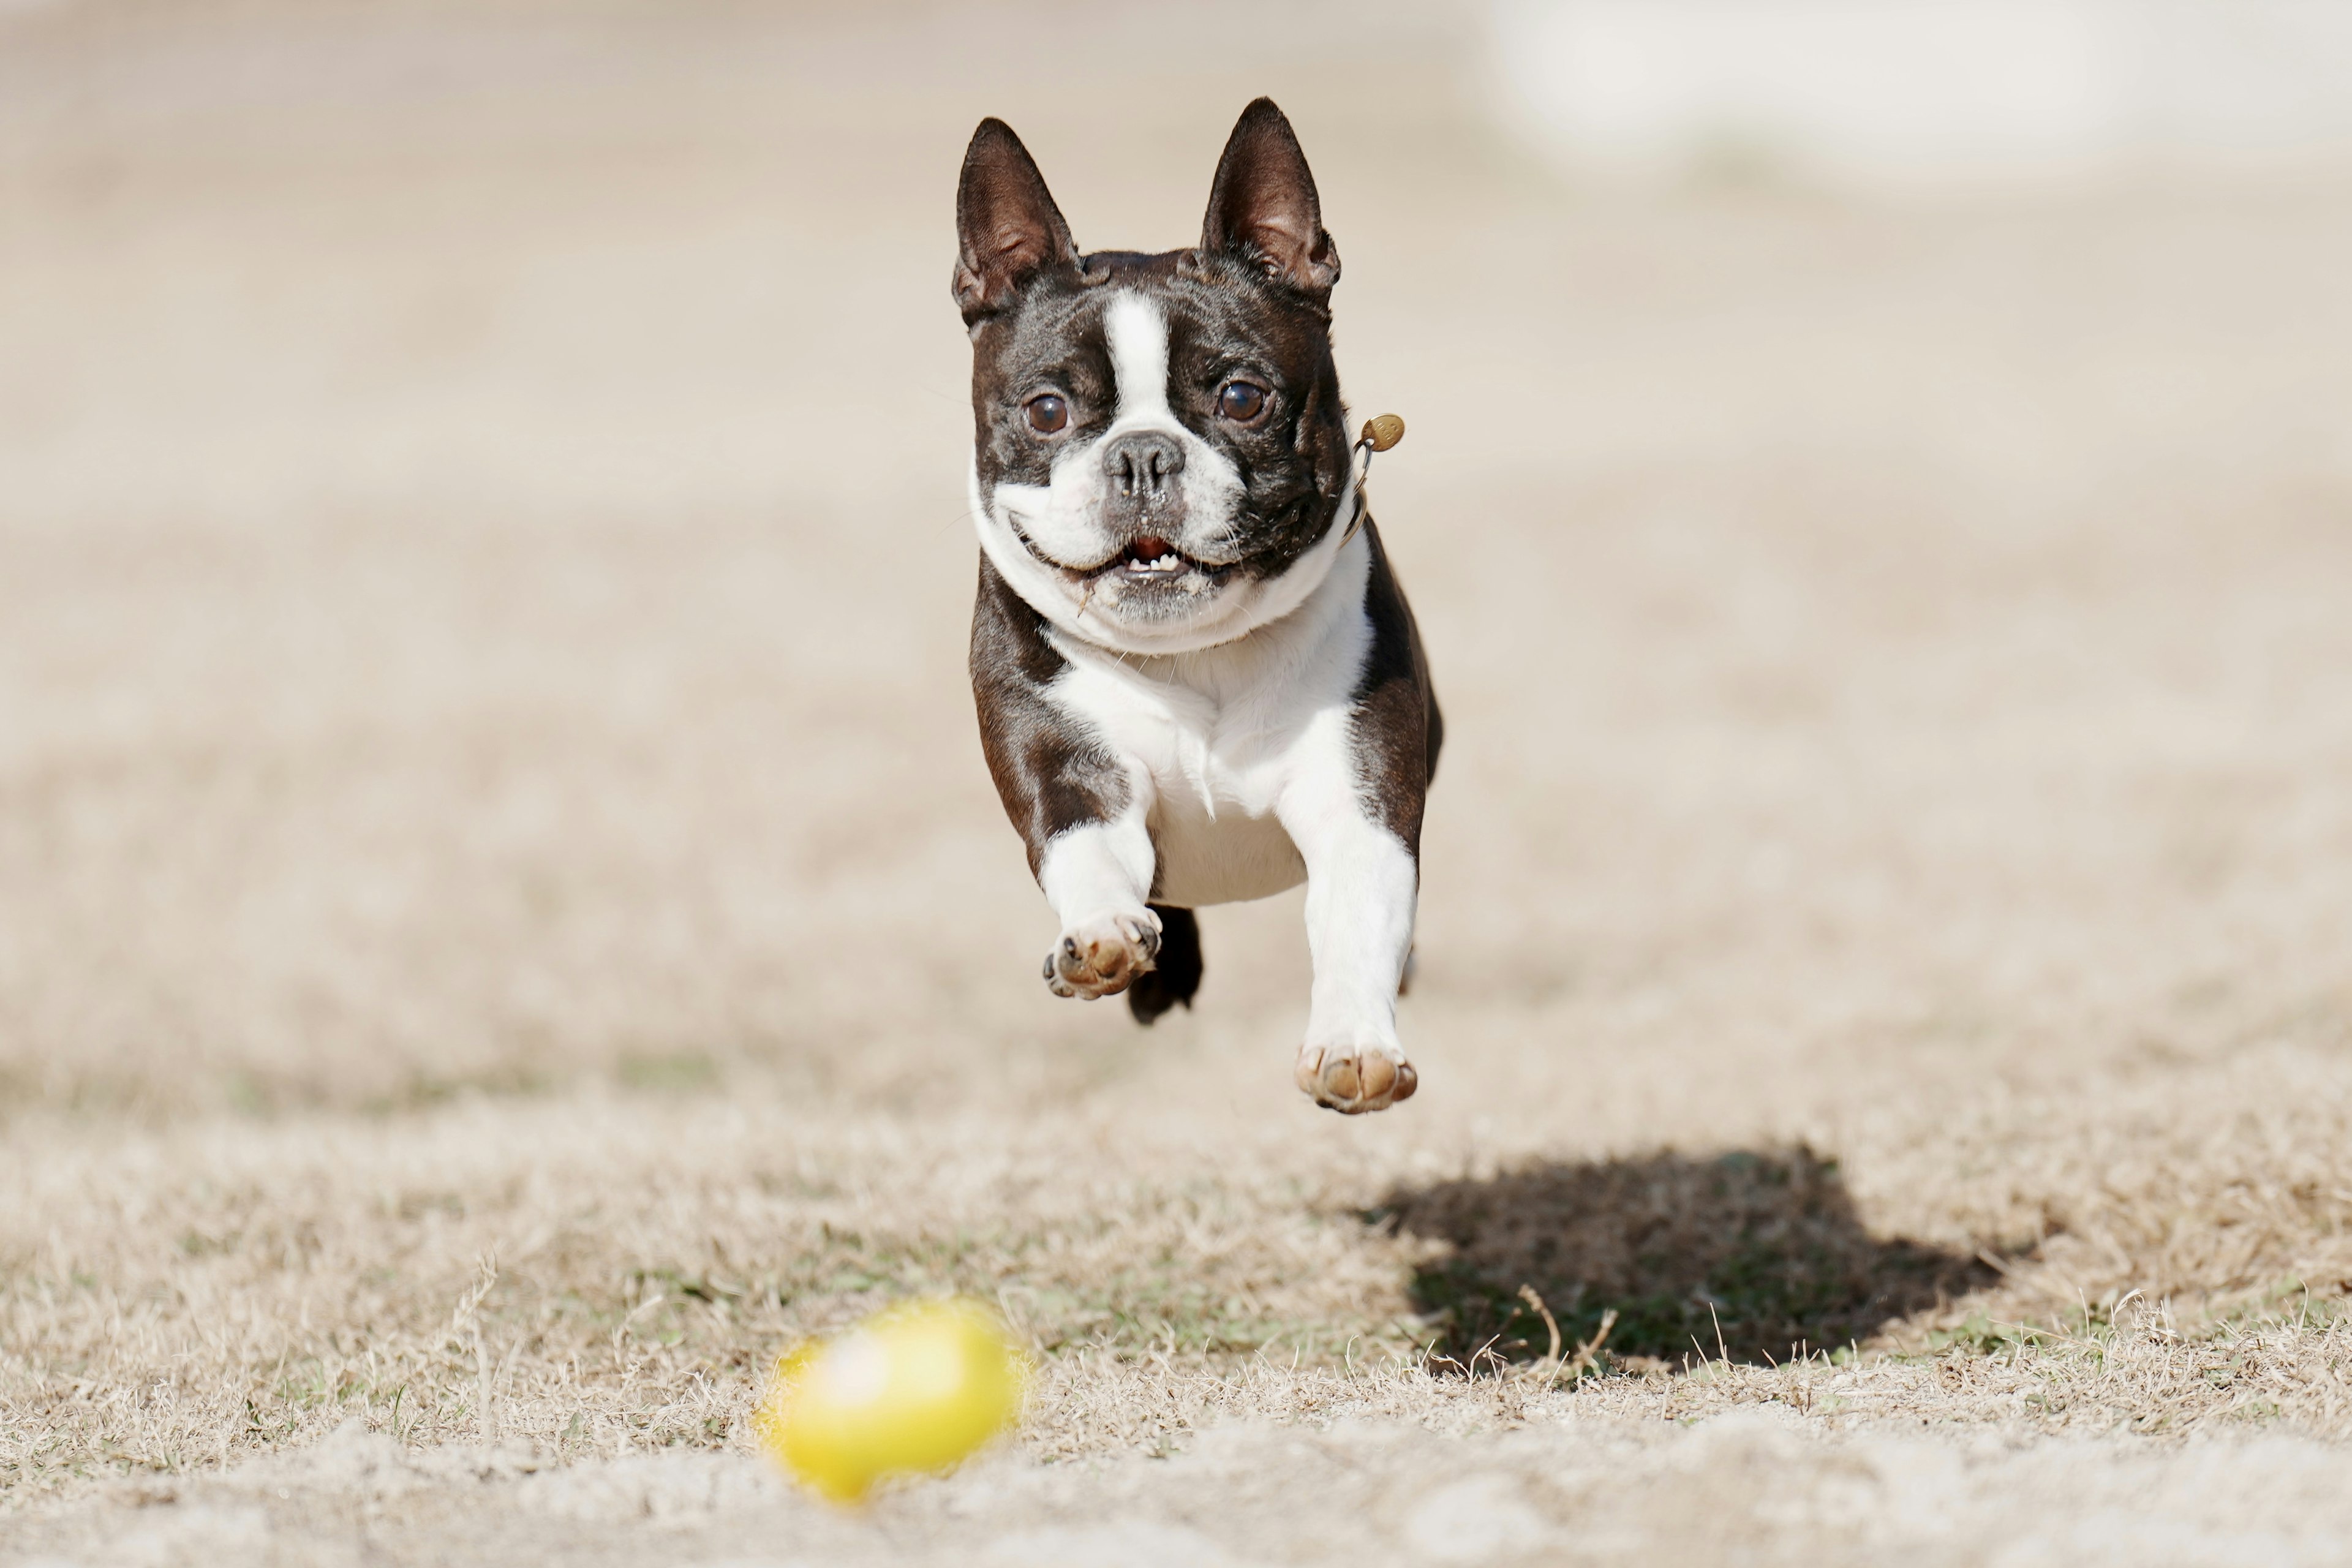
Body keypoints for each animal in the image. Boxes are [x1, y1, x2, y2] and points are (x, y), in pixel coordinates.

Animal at [950, 98, 1430, 1114]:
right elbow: (1087, 854)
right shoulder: (1072, 772)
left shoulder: (1360, 802)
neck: (1197, 651)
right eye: (1046, 411)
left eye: (1243, 398)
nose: (1142, 455)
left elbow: (1358, 917)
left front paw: (1353, 1045)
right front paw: (1099, 938)